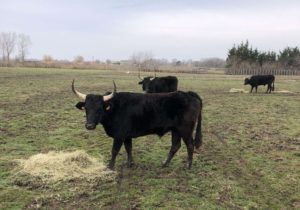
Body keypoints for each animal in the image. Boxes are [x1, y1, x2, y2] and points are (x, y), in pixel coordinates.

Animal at [72, 79, 203, 170]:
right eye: (86, 108)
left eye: (100, 109)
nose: (89, 126)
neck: (114, 108)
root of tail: (188, 94)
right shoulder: (126, 135)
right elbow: (128, 148)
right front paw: (130, 163)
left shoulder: (119, 136)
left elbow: (115, 150)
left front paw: (110, 166)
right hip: (176, 130)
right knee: (175, 146)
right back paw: (165, 163)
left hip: (185, 130)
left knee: (190, 145)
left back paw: (188, 166)